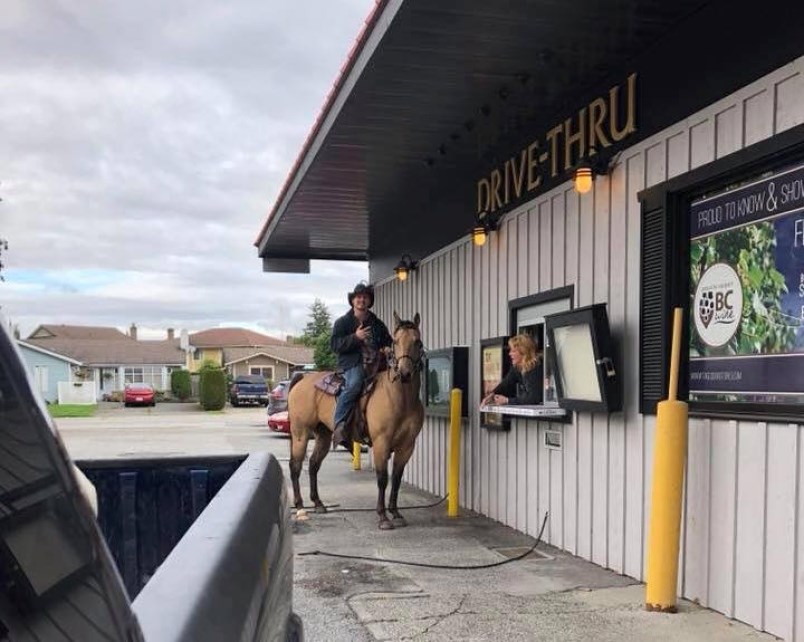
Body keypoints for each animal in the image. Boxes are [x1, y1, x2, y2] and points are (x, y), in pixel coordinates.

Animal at [288, 310, 428, 524]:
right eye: (395, 342)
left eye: (417, 342)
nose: (404, 373)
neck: (401, 398)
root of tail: (303, 379)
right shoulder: (381, 442)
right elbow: (382, 478)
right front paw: (383, 517)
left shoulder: (407, 446)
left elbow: (396, 478)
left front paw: (395, 513)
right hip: (300, 433)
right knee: (295, 466)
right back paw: (300, 507)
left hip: (324, 435)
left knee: (313, 464)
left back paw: (318, 504)